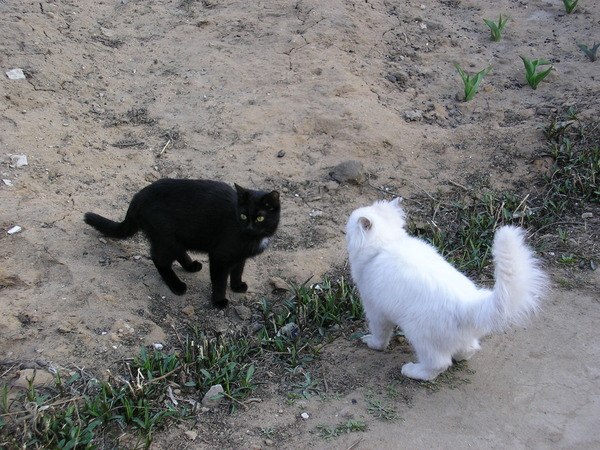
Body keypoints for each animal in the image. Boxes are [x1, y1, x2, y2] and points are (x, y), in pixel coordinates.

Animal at [84, 179, 280, 309]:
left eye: (260, 218)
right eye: (243, 216)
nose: (249, 227)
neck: (249, 238)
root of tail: (138, 196)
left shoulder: (241, 257)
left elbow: (237, 272)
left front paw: (237, 286)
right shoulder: (220, 256)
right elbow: (219, 281)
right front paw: (219, 301)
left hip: (176, 237)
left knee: (177, 251)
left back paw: (191, 266)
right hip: (165, 237)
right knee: (159, 260)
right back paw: (177, 285)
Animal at [345, 198, 548, 381]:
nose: (345, 228)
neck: (387, 243)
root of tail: (469, 305)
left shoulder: (375, 309)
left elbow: (379, 336)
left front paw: (371, 343)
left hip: (420, 335)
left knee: (438, 364)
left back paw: (413, 371)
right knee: (469, 349)